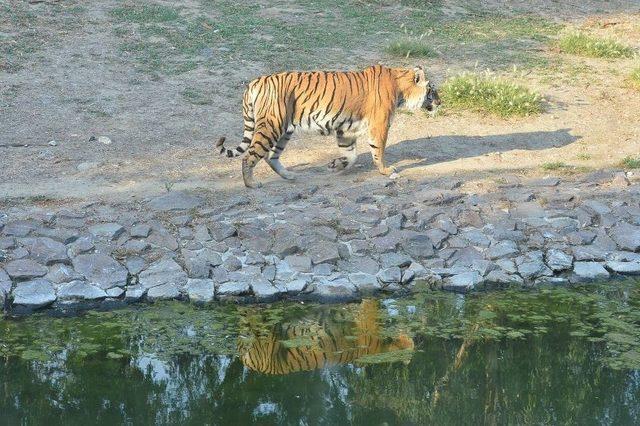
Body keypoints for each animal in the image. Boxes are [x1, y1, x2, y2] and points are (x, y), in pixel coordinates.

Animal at [215, 63, 440, 188]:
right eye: (432, 90)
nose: (439, 102)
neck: (400, 86)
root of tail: (255, 82)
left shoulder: (347, 129)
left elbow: (351, 155)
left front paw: (335, 165)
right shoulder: (380, 125)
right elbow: (378, 150)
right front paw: (385, 170)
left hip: (284, 130)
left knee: (271, 157)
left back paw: (289, 175)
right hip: (271, 126)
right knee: (249, 157)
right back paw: (252, 184)